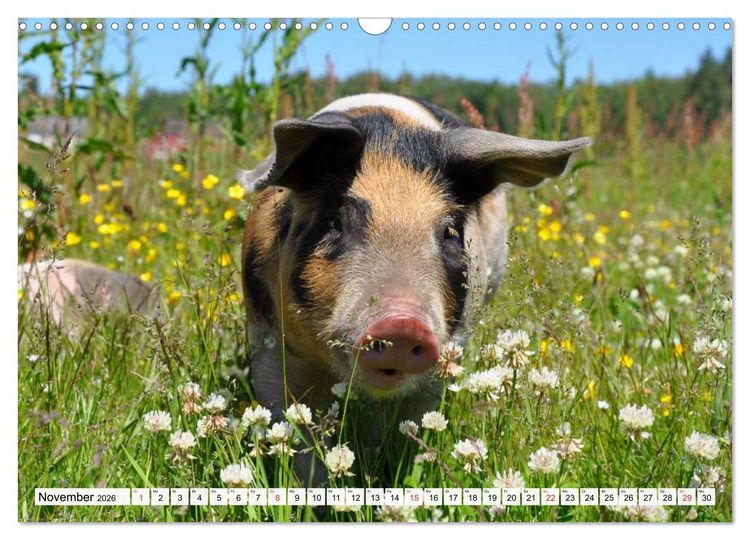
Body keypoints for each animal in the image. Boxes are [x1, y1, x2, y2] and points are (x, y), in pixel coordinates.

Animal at [239, 93, 589, 480]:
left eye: (450, 230)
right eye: (334, 222)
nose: (403, 323)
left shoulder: (445, 353)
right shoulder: (268, 344)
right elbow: (297, 434)